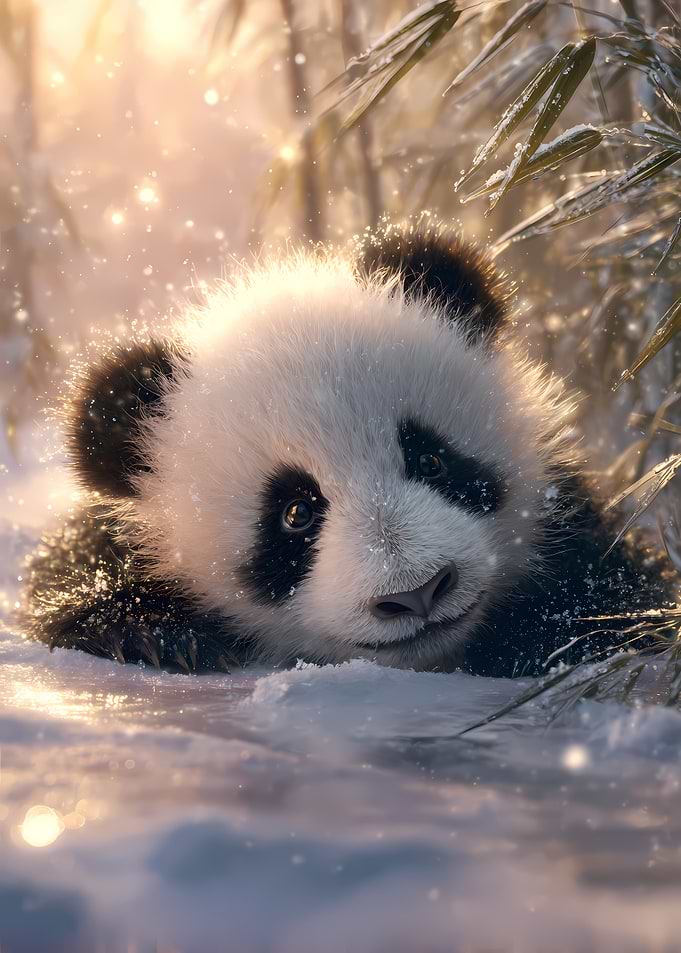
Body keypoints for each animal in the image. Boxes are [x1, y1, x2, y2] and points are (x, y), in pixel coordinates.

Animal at [23, 223, 677, 677]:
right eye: (295, 513)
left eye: (431, 461)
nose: (416, 593)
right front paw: (154, 634)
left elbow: (622, 589)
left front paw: (542, 634)